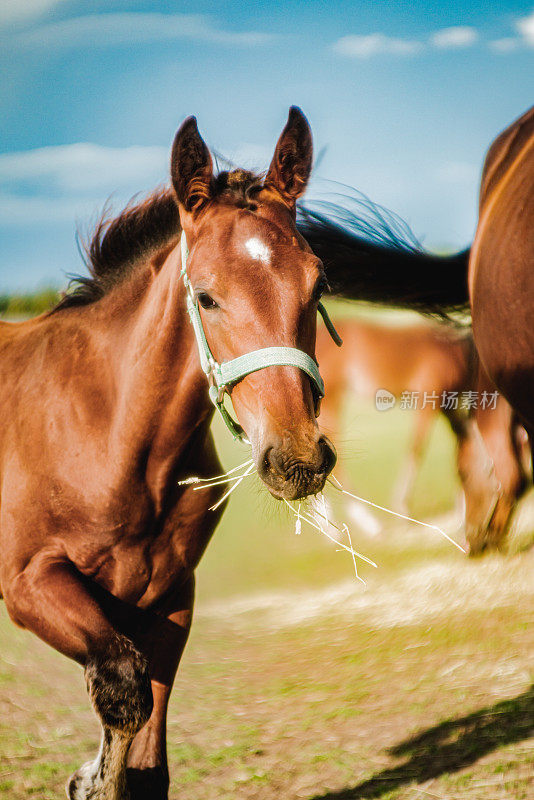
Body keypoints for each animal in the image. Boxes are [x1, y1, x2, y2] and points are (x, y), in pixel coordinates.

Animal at [0, 109, 338, 800]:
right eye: (205, 296)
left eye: (317, 284)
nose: (298, 458)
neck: (112, 439)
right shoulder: (28, 582)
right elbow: (121, 689)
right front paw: (86, 778)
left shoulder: (170, 595)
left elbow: (149, 759)